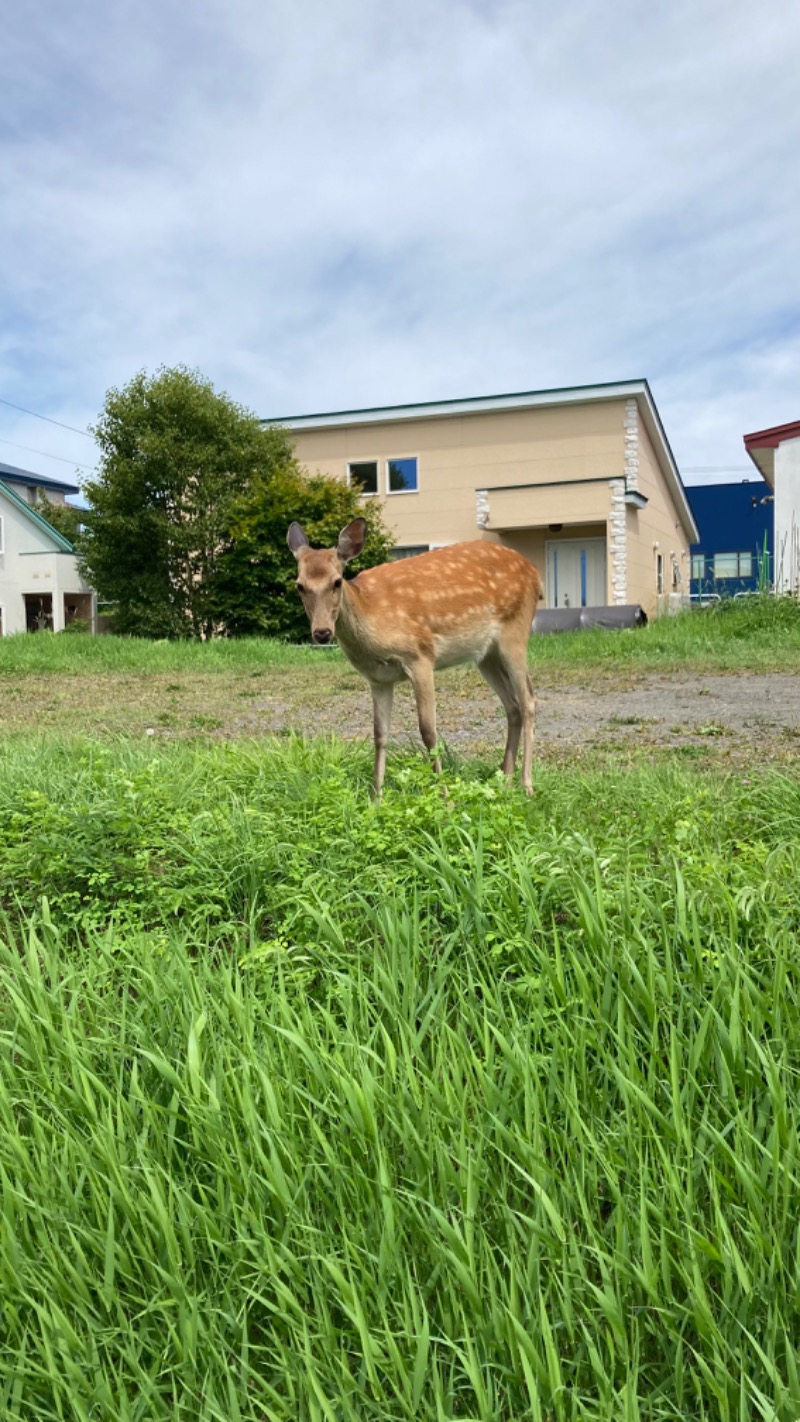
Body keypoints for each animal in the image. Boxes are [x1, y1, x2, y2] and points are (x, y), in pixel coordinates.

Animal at [284, 517, 542, 796]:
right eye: (299, 586)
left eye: (337, 581)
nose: (322, 632)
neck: (371, 615)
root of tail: (535, 574)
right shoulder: (378, 678)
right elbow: (380, 734)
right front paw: (376, 795)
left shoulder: (420, 657)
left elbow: (428, 731)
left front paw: (444, 796)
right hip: (486, 655)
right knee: (512, 705)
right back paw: (505, 780)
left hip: (515, 633)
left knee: (528, 701)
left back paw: (527, 785)